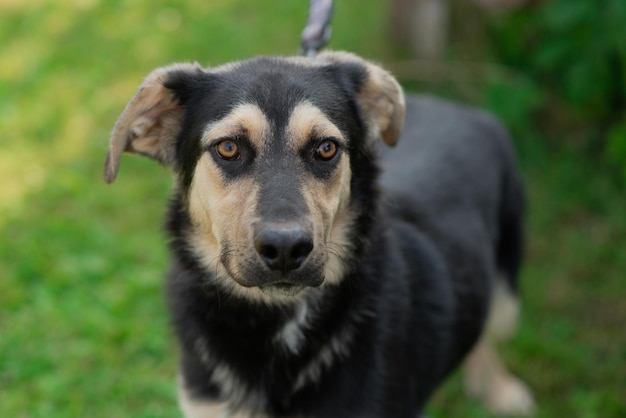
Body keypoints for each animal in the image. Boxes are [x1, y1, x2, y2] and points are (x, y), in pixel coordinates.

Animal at [105, 50, 532, 416]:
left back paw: (500, 390)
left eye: (326, 148)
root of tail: (463, 108)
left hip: (508, 294)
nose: (285, 248)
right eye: (227, 148)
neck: (276, 327)